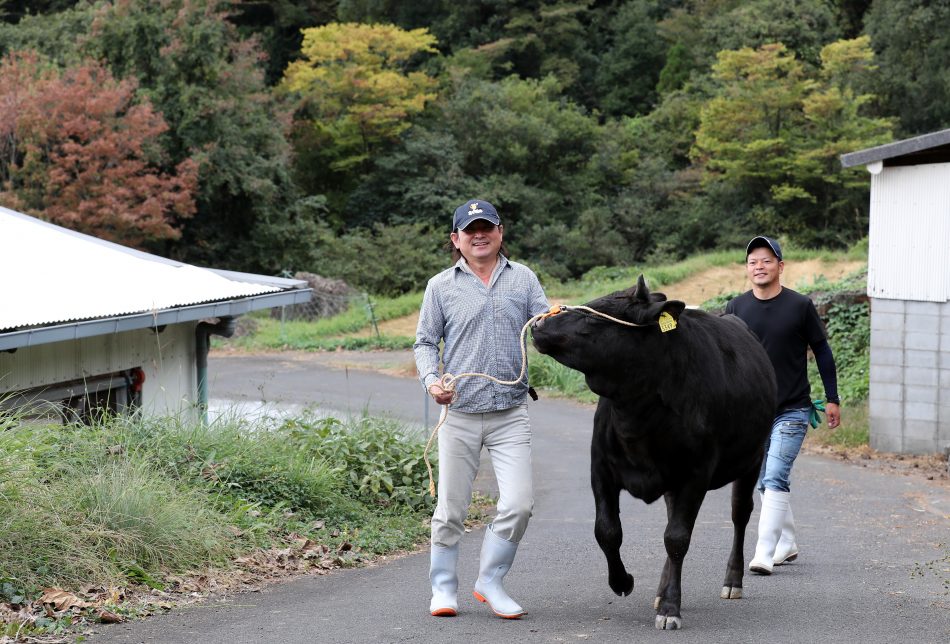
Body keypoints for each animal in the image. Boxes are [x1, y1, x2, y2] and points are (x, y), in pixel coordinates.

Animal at [532, 276, 776, 628]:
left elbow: (677, 538)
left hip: (752, 459)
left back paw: (732, 581)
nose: (540, 322)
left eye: (596, 316)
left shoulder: (695, 474)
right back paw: (660, 590)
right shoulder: (600, 469)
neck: (636, 411)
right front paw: (622, 581)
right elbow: (607, 530)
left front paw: (671, 609)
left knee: (739, 515)